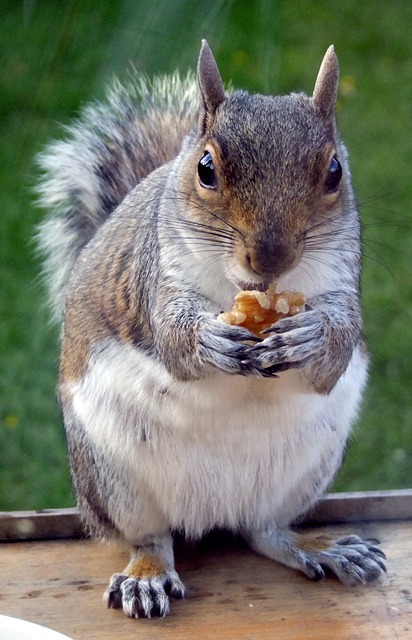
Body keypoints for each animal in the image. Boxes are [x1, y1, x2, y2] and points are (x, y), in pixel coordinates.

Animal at [36, 41, 386, 620]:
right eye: (206, 169)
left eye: (335, 171)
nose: (270, 258)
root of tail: (212, 513)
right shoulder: (156, 277)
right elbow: (173, 339)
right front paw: (208, 340)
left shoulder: (343, 280)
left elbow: (335, 352)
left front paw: (312, 335)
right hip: (113, 477)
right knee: (150, 538)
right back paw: (147, 575)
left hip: (305, 472)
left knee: (264, 532)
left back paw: (320, 548)